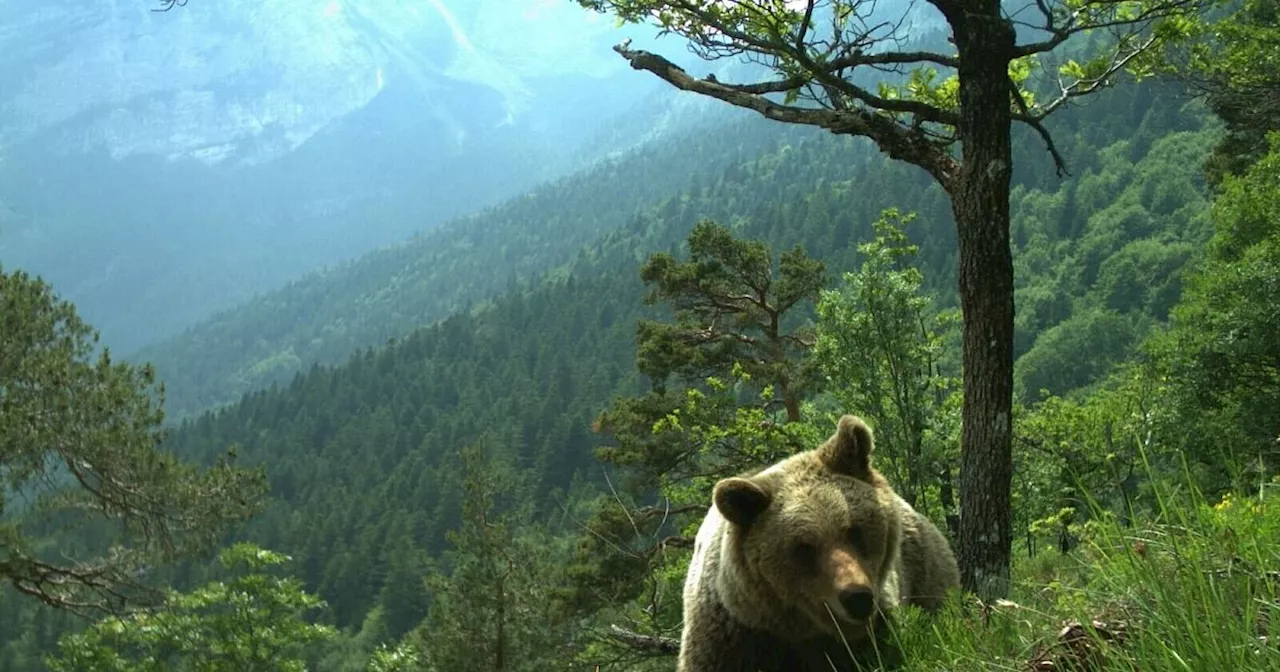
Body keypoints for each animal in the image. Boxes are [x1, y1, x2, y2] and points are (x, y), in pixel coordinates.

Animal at [680, 412, 962, 665]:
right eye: (804, 547)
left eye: (853, 530)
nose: (857, 598)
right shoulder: (733, 638)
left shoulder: (879, 626)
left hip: (925, 572)